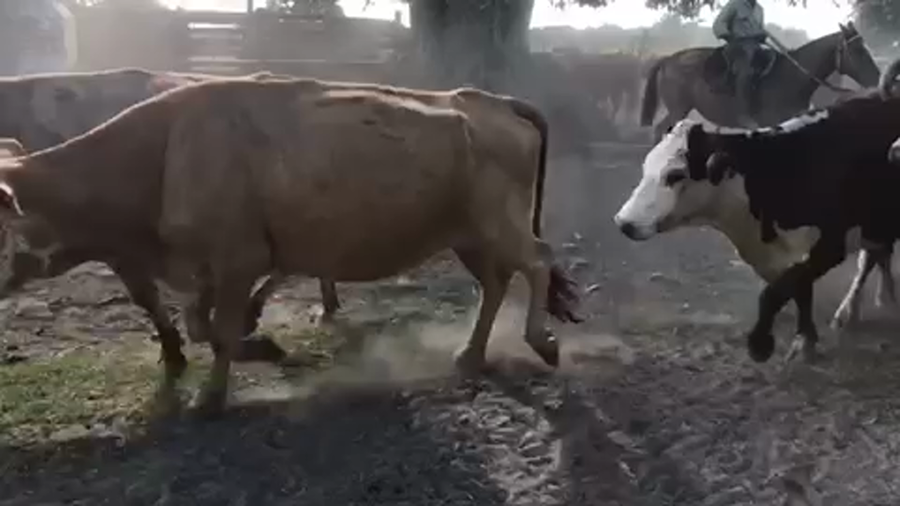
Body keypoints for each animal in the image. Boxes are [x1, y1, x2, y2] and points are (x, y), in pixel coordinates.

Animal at [0, 77, 582, 418]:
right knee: (498, 282)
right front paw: (259, 347)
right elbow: (201, 324)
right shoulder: (206, 268)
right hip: (468, 234)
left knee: (538, 260)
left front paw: (215, 394)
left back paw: (543, 342)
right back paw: (471, 353)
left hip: (499, 222)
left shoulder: (239, 259)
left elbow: (221, 329)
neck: (163, 154)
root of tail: (489, 99)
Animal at [613, 91, 900, 365]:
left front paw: (761, 345)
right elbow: (800, 290)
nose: (624, 222)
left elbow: (776, 292)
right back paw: (872, 301)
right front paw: (805, 340)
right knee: (875, 256)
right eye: (646, 166)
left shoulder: (829, 246)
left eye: (675, 175)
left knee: (869, 260)